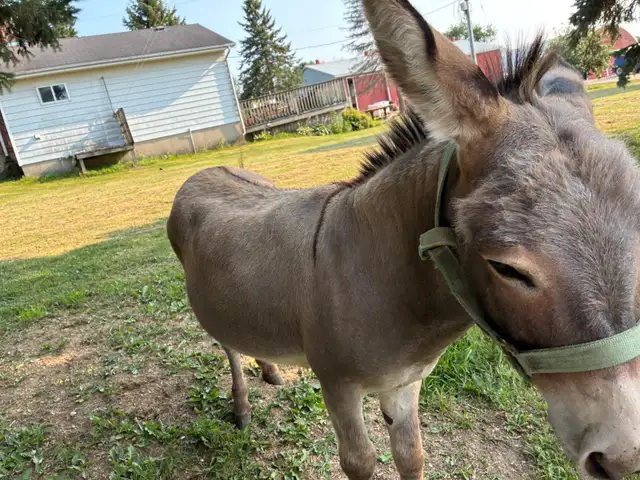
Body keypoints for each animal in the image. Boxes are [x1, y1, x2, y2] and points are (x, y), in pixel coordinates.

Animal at [167, 1, 640, 478]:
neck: (387, 282)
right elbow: (359, 462)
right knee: (227, 345)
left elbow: (411, 455)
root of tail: (206, 169)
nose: (625, 456)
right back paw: (242, 406)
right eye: (506, 268)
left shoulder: (405, 381)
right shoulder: (337, 385)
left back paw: (270, 370)